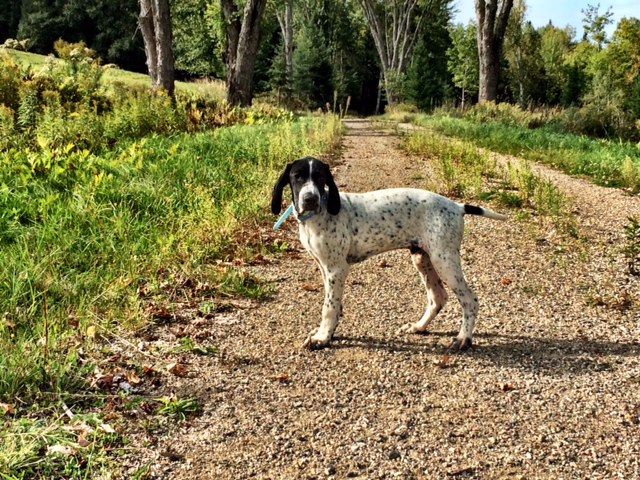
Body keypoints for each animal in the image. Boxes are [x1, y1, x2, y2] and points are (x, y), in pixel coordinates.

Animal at [272, 157, 508, 348]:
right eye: (297, 176)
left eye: (320, 177)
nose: (310, 199)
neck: (317, 217)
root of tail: (457, 206)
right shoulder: (324, 267)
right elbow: (334, 303)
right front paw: (328, 331)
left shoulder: (336, 269)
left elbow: (328, 307)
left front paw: (322, 338)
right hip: (423, 258)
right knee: (438, 297)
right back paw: (418, 327)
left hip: (444, 260)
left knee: (470, 299)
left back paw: (463, 338)